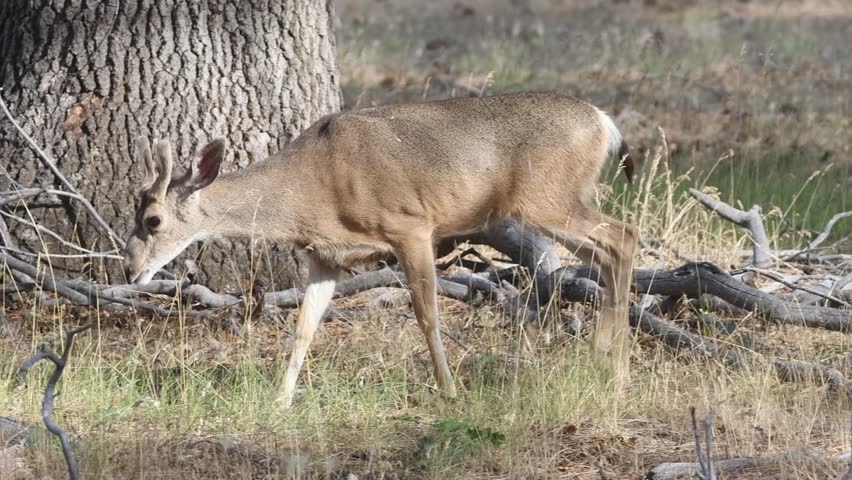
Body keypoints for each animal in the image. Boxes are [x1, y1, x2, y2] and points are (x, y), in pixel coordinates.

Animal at [124, 91, 638, 407]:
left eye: (153, 221)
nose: (130, 271)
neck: (313, 190)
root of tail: (605, 122)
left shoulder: (411, 225)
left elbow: (427, 315)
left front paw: (449, 390)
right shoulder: (325, 257)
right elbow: (304, 328)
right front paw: (280, 399)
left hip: (545, 196)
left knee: (624, 235)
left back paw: (617, 371)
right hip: (553, 202)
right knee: (606, 253)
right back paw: (603, 357)